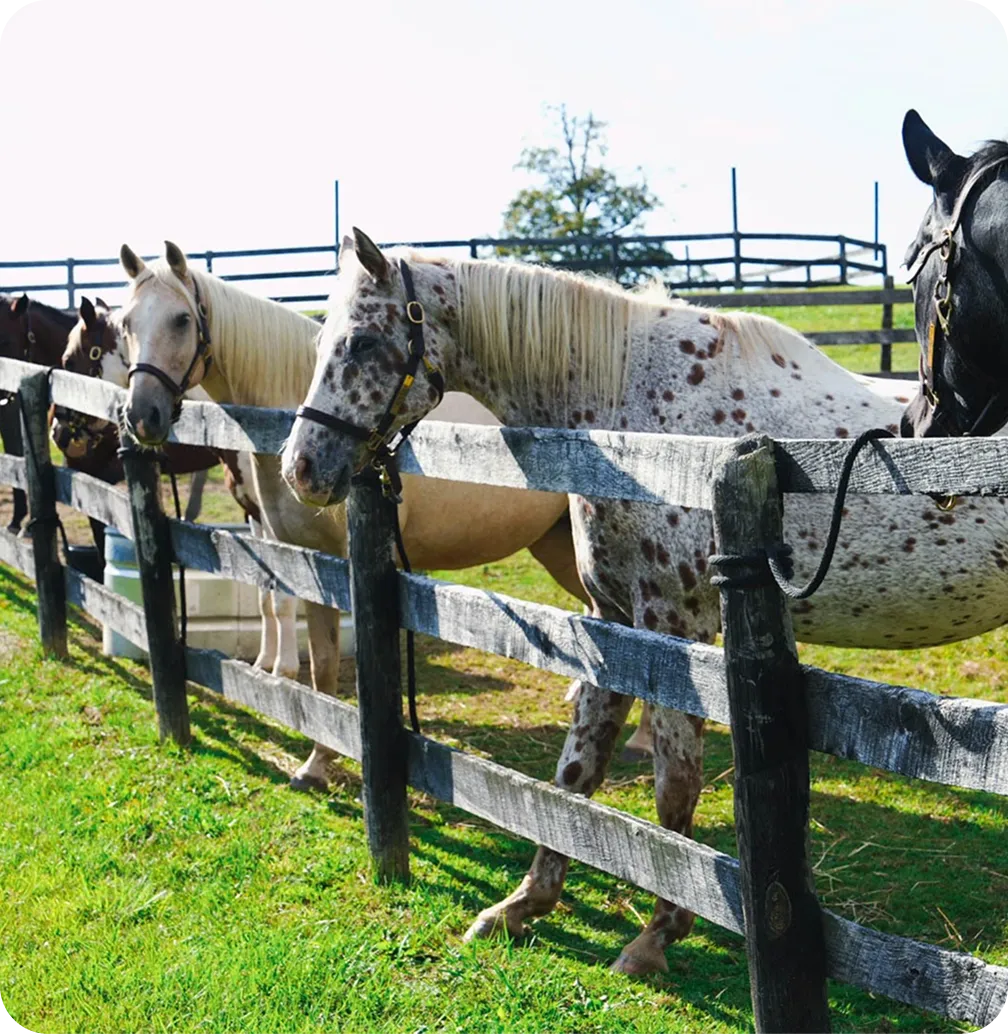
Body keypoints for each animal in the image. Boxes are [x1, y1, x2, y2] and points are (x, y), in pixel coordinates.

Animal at [110, 241, 595, 793]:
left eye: (182, 320)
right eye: (125, 323)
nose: (141, 415)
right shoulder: (308, 562)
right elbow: (319, 666)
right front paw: (316, 763)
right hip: (558, 546)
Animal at [280, 228, 1008, 976]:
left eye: (361, 342)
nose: (300, 468)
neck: (643, 431)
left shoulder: (673, 627)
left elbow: (674, 788)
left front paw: (656, 937)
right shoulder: (616, 625)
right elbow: (574, 774)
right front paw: (522, 905)